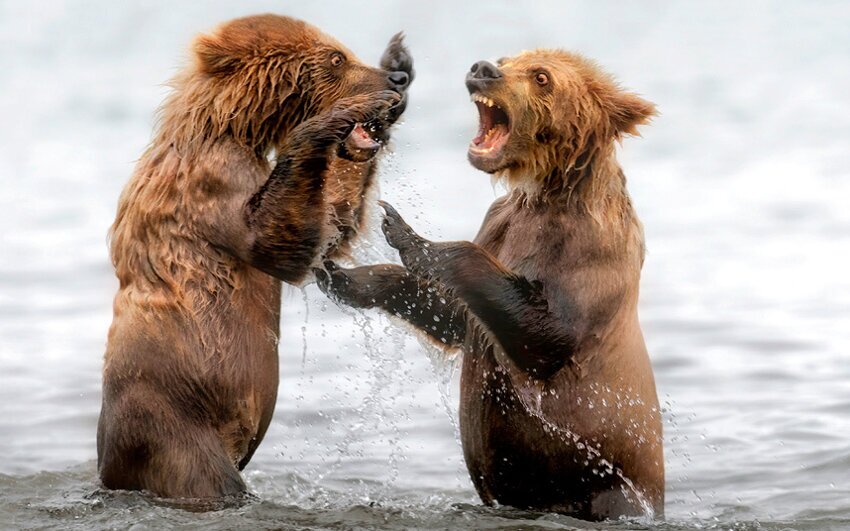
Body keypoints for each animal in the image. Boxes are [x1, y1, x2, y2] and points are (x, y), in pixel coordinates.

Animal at [97, 14, 414, 500]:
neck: (229, 129)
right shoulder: (212, 182)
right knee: (205, 474)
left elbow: (332, 225)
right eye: (336, 58)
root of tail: (109, 472)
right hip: (171, 423)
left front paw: (398, 63)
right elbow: (276, 243)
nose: (393, 81)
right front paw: (331, 120)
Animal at [318, 47, 664, 520]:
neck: (545, 191)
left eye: (541, 76)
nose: (484, 69)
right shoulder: (500, 223)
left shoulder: (589, 249)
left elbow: (548, 335)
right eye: (508, 57)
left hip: (613, 485)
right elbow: (455, 316)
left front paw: (406, 233)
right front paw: (339, 273)